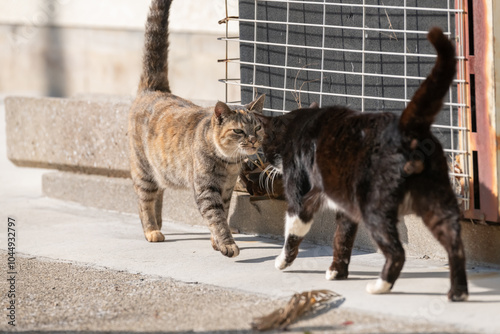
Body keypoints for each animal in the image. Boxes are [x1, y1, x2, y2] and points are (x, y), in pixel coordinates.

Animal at [129, 0, 266, 258]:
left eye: (258, 127)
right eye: (239, 131)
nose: (253, 140)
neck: (228, 163)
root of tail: (154, 90)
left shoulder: (226, 190)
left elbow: (222, 214)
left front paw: (216, 242)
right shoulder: (207, 190)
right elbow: (217, 219)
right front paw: (227, 244)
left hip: (161, 170)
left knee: (158, 194)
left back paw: (159, 223)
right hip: (143, 169)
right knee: (144, 200)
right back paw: (151, 230)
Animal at [254, 28, 468, 300]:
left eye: (265, 146)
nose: (266, 162)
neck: (299, 124)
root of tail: (407, 127)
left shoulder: (299, 192)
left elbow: (293, 230)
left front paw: (283, 261)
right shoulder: (342, 204)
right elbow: (342, 237)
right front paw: (337, 271)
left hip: (374, 207)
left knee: (397, 251)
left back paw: (380, 286)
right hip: (437, 201)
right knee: (455, 244)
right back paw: (458, 292)